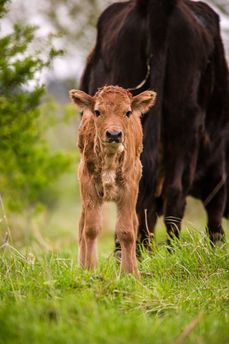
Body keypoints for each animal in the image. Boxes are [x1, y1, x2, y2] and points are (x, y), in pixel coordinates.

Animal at [69, 86, 156, 276]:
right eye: (97, 112)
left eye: (128, 112)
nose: (114, 134)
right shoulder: (87, 184)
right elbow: (91, 228)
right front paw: (90, 269)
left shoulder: (130, 187)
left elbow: (126, 230)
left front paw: (130, 273)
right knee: (81, 225)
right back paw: (82, 265)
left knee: (134, 223)